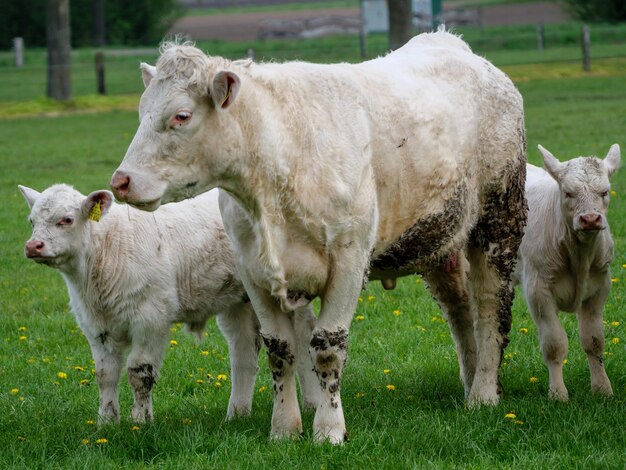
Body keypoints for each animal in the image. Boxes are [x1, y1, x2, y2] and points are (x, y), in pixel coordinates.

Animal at [19, 185, 320, 424]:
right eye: (31, 220)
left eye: (66, 219)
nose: (33, 246)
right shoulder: (96, 327)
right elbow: (105, 374)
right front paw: (106, 422)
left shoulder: (150, 320)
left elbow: (139, 371)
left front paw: (141, 421)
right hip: (240, 301)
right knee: (244, 350)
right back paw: (237, 414)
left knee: (301, 336)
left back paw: (311, 403)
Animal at [109, 30, 524, 444]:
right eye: (142, 112)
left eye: (181, 115)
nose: (121, 181)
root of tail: (450, 43)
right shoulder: (252, 271)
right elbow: (279, 349)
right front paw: (283, 428)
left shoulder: (349, 261)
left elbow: (327, 347)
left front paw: (328, 429)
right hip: (441, 239)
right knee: (459, 309)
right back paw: (471, 380)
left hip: (499, 218)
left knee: (490, 306)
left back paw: (484, 393)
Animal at [512, 144, 620, 400]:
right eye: (568, 193)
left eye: (605, 192)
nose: (590, 219)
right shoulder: (538, 290)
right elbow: (554, 344)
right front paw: (558, 394)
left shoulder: (600, 287)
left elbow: (594, 341)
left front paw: (602, 389)